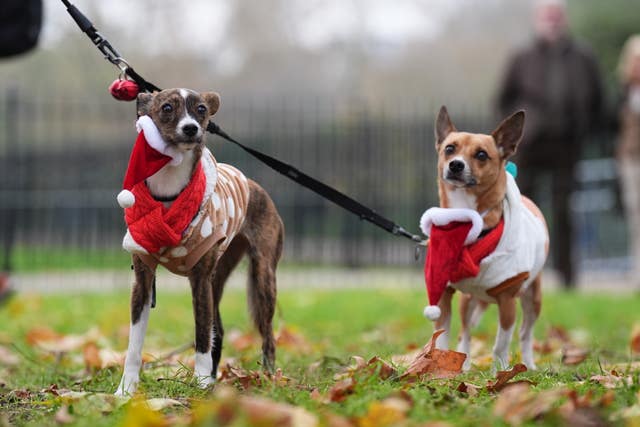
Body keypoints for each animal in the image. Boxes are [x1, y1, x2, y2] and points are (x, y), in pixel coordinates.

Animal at [420, 107, 552, 372]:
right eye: (449, 148)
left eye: (481, 154)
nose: (456, 165)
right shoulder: (444, 294)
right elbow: (442, 334)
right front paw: (441, 365)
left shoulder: (508, 302)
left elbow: (501, 343)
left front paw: (500, 373)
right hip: (468, 302)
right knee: (466, 332)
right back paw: (465, 364)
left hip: (533, 299)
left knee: (525, 333)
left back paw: (529, 364)